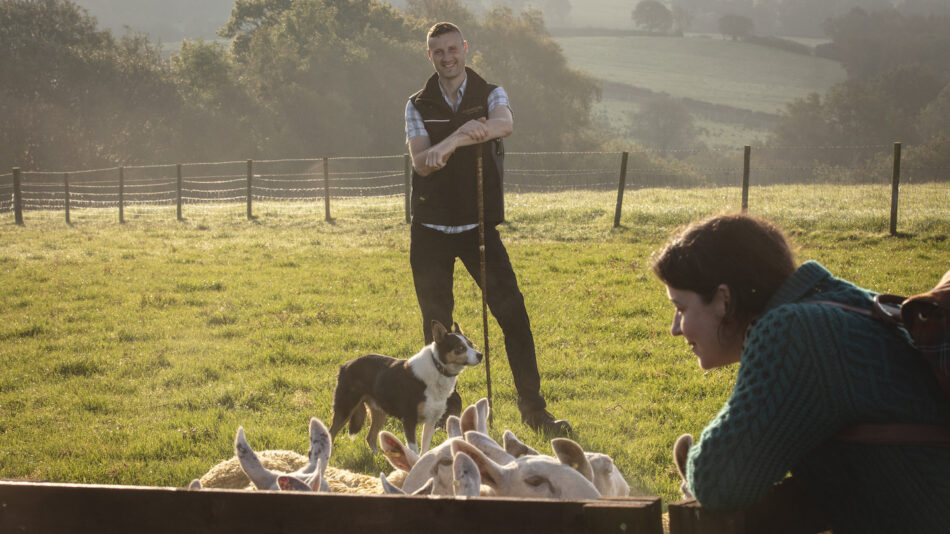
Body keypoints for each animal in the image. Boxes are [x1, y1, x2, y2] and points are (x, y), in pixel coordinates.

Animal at [332, 322, 484, 456]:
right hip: (345, 409)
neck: (438, 368)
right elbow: (414, 450)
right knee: (332, 432)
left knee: (370, 437)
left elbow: (424, 449)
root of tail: (345, 365)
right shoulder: (409, 420)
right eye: (460, 348)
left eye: (470, 344)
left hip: (379, 412)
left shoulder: (431, 420)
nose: (481, 355)